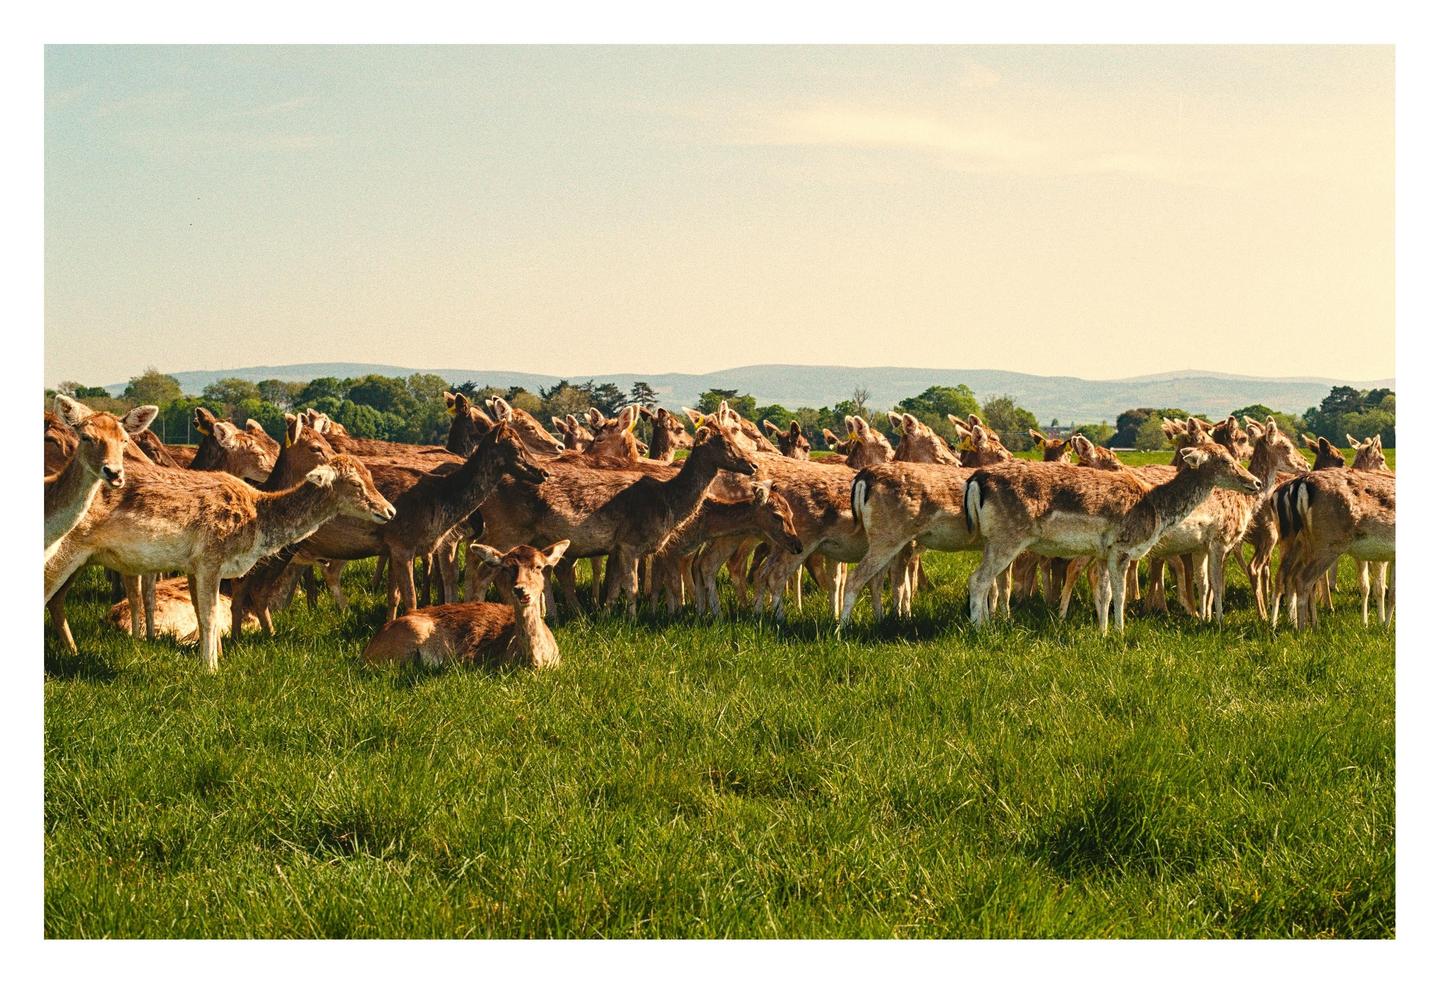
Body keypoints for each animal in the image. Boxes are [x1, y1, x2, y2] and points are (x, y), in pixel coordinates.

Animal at [45, 454, 396, 671]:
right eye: (355, 483)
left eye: (370, 476)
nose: (389, 510)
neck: (256, 526)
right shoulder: (210, 558)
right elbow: (212, 616)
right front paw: (210, 668)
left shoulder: (192, 566)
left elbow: (203, 617)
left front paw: (214, 659)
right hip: (64, 551)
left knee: (56, 601)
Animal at [964, 418, 1262, 633]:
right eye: (1225, 460)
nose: (1255, 482)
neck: (1155, 507)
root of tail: (977, 480)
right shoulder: (1122, 546)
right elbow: (1120, 593)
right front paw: (1120, 632)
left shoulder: (1103, 551)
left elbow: (1105, 592)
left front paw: (1104, 632)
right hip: (1008, 537)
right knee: (978, 579)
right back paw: (979, 629)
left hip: (992, 540)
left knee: (986, 579)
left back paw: (987, 622)